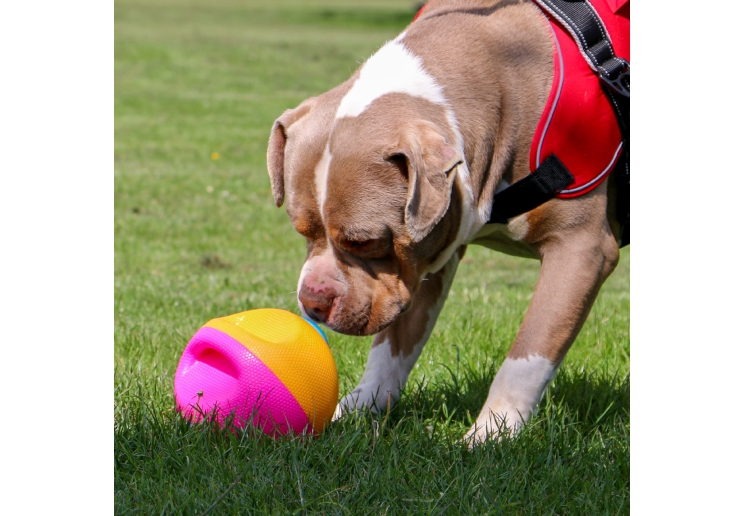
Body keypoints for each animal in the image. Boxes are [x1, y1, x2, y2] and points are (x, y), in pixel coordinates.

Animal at [268, 0, 628, 444]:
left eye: (364, 241)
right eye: (302, 231)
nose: (314, 301)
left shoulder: (581, 248)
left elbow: (529, 354)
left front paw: (490, 435)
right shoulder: (431, 251)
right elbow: (393, 348)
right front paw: (359, 409)